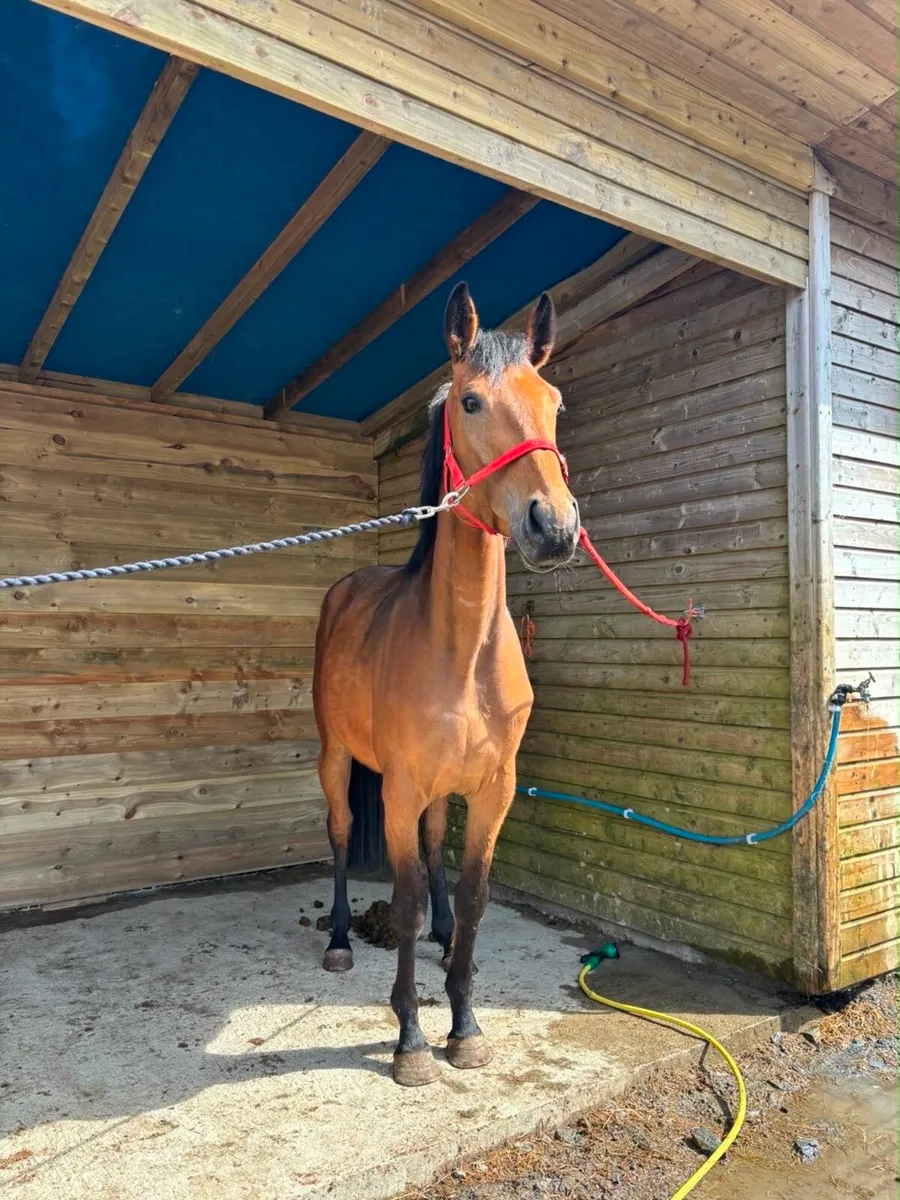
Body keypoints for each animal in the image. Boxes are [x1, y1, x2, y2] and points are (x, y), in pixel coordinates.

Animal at [312, 281, 579, 1086]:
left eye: (554, 401)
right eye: (470, 401)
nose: (554, 527)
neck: (461, 656)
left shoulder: (492, 789)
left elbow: (474, 892)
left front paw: (464, 1023)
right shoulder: (400, 788)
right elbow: (398, 901)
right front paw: (411, 1042)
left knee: (435, 852)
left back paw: (441, 933)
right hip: (338, 760)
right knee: (341, 834)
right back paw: (341, 939)